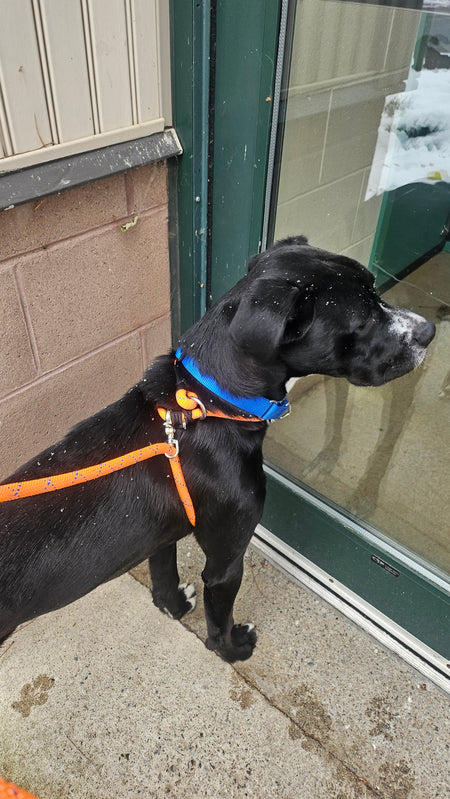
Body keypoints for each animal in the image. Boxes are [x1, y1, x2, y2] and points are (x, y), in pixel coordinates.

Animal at [0, 236, 435, 661]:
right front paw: (233, 650)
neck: (209, 402)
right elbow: (218, 624)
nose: (430, 331)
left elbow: (163, 579)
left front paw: (174, 606)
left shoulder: (161, 535)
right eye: (364, 319)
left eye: (376, 289)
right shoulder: (226, 562)